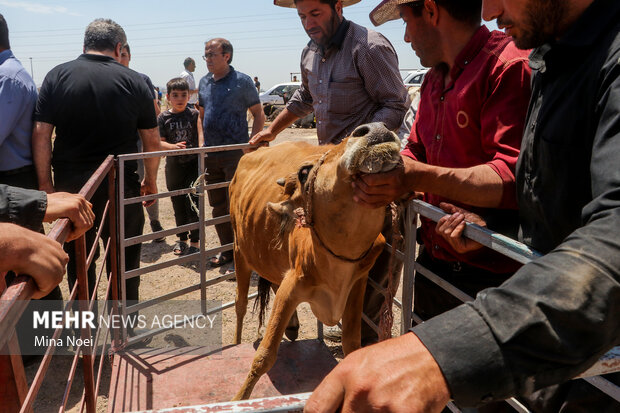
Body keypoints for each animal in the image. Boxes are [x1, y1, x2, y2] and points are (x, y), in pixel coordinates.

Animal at [230, 121, 400, 400]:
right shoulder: (291, 286)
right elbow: (264, 355)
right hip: (239, 252)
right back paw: (235, 342)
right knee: (240, 304)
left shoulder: (358, 283)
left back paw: (292, 326)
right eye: (304, 172)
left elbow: (352, 344)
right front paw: (238, 399)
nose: (375, 128)